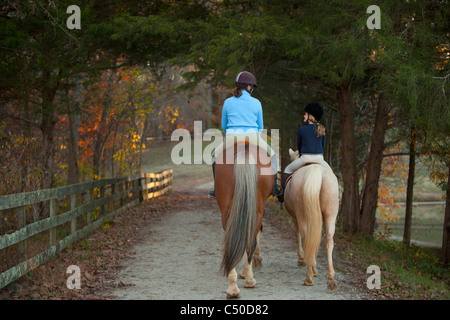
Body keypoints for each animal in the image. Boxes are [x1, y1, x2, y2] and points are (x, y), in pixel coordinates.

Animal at [215, 142, 274, 298]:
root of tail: (244, 149)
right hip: (257, 209)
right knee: (249, 241)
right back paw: (248, 281)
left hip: (227, 210)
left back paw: (233, 288)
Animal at [284, 149, 338, 292]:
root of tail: (315, 169)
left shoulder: (295, 217)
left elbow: (298, 235)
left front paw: (303, 260)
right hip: (330, 216)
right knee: (328, 241)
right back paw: (331, 280)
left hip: (302, 216)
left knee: (306, 237)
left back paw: (309, 277)